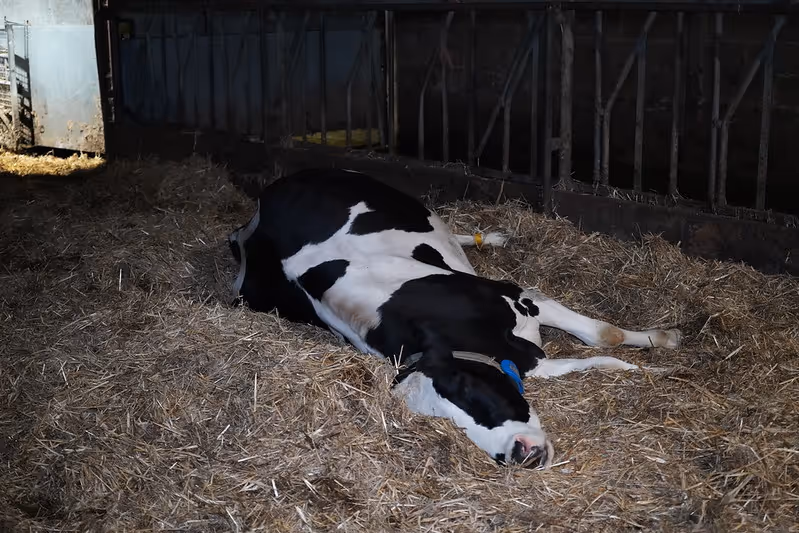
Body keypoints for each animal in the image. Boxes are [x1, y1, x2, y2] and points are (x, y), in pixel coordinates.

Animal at [227, 168, 681, 469]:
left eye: (466, 387)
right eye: (449, 427)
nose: (517, 454)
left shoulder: (518, 294)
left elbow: (605, 334)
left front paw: (665, 345)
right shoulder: (527, 354)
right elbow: (592, 356)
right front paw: (648, 365)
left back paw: (489, 237)